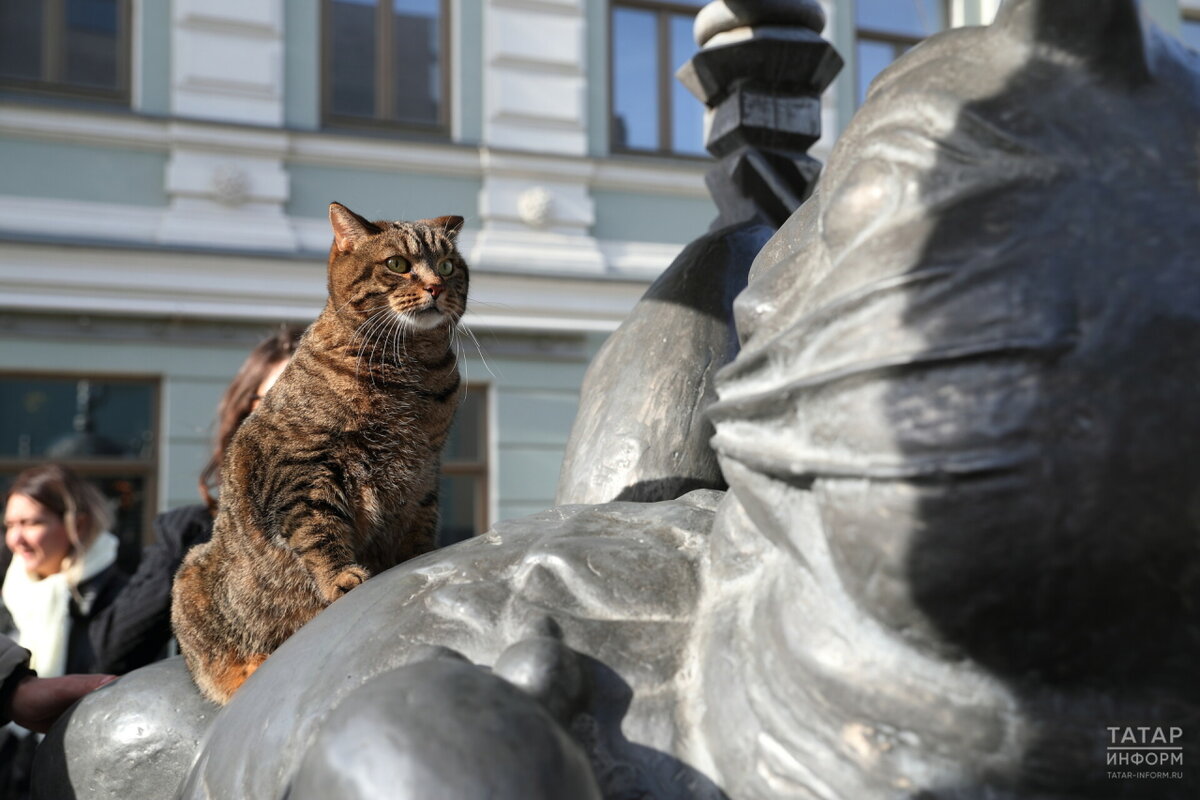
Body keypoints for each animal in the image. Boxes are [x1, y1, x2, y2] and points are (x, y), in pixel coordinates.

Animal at [171, 203, 465, 705]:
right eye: (398, 264)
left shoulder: (423, 475)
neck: (413, 368)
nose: (435, 286)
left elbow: (417, 535)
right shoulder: (304, 468)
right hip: (191, 580)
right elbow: (319, 527)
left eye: (447, 266)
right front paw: (341, 577)